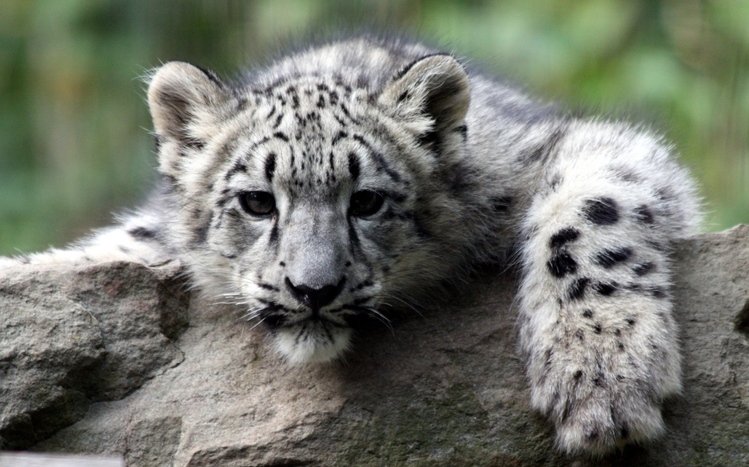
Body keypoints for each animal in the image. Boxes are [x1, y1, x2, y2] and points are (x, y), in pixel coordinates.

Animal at [2, 36, 701, 455]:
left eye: (366, 201)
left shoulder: (580, 150)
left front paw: (602, 379)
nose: (313, 289)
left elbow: (590, 212)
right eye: (257, 201)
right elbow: (113, 249)